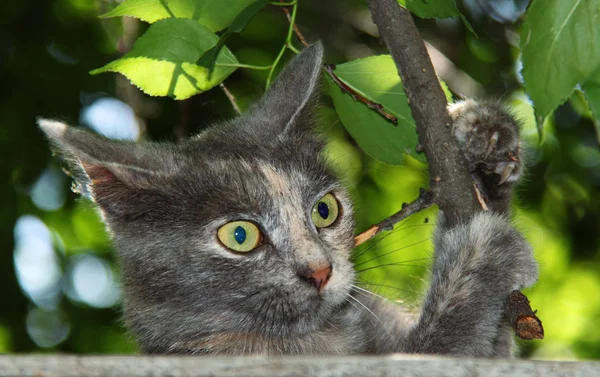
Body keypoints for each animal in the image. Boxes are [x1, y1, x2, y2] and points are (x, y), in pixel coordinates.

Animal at [39, 43, 536, 356]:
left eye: (325, 210)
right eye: (239, 236)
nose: (320, 271)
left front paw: (484, 139)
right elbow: (439, 351)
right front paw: (483, 254)